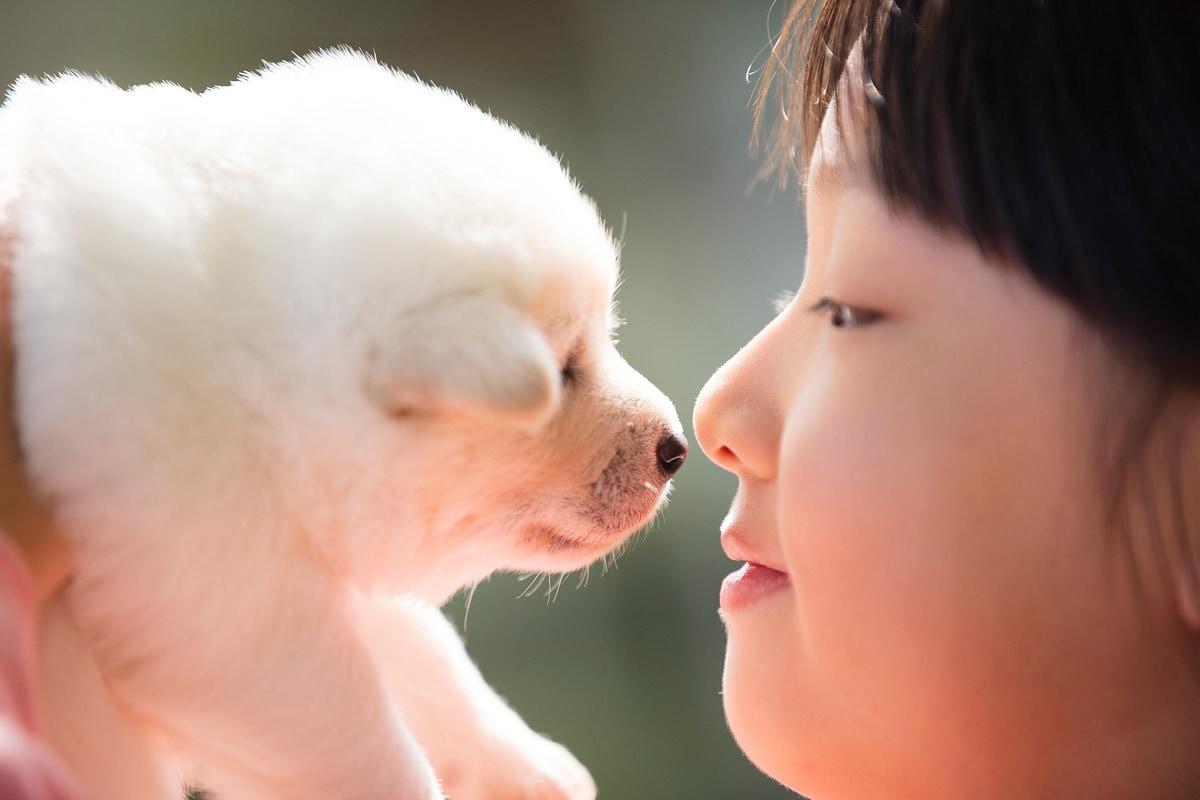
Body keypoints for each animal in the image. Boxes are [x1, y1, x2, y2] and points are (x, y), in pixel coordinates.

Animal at [0, 51, 686, 800]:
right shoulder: (217, 604)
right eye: (561, 370)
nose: (677, 449)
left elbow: (423, 655)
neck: (246, 363)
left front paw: (528, 766)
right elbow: (360, 732)